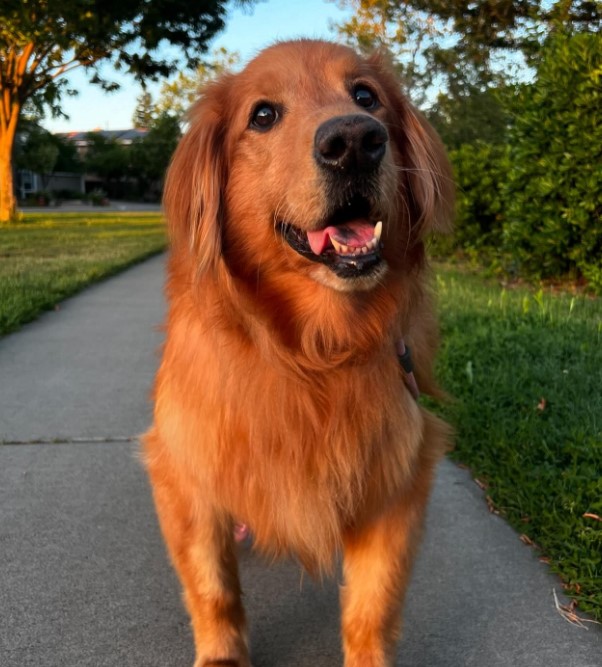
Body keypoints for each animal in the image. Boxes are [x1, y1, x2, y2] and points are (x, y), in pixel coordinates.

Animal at [145, 40, 452, 667]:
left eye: (366, 96)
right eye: (263, 115)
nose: (354, 141)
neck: (312, 354)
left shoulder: (397, 480)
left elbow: (371, 606)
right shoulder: (185, 477)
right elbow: (213, 588)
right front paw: (222, 657)